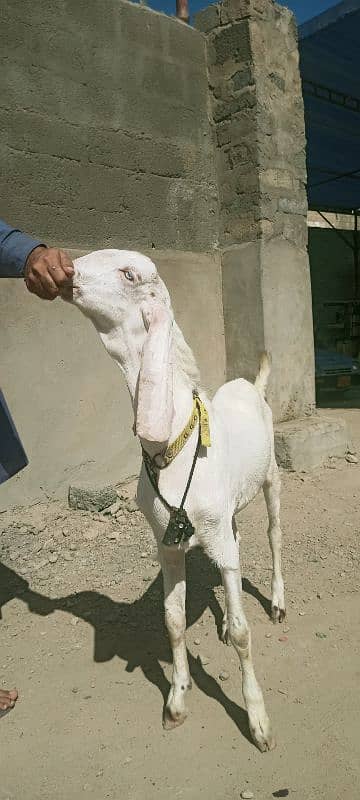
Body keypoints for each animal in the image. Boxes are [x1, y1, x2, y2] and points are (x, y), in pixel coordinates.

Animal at [64, 248, 284, 752]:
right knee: (239, 541)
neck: (174, 447)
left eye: (129, 273)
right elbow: (173, 620)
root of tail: (253, 385)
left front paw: (259, 721)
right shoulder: (168, 543)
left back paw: (278, 601)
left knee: (272, 533)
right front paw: (177, 700)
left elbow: (244, 632)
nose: (66, 270)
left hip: (271, 479)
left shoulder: (217, 534)